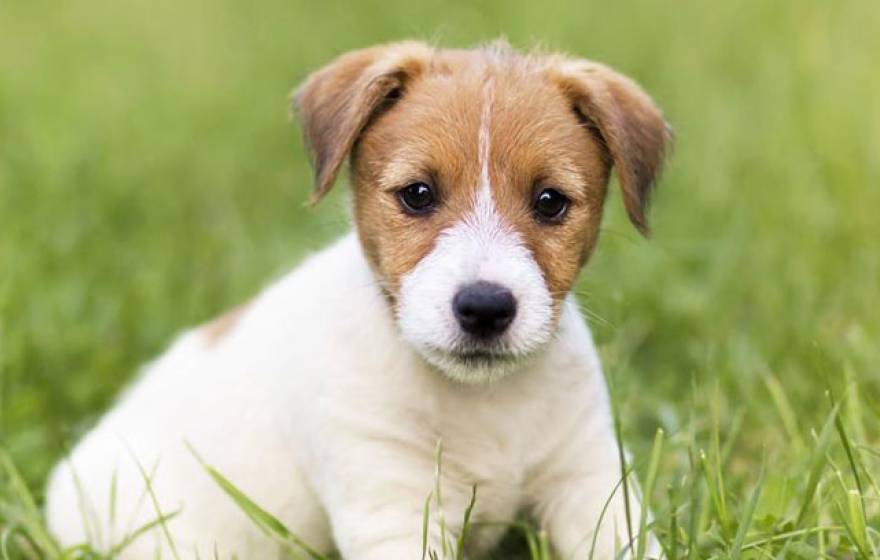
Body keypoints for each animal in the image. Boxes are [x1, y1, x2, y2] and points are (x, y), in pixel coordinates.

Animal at [46, 41, 668, 556]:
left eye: (550, 201)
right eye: (418, 194)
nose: (485, 308)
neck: (484, 402)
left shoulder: (591, 482)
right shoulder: (391, 502)